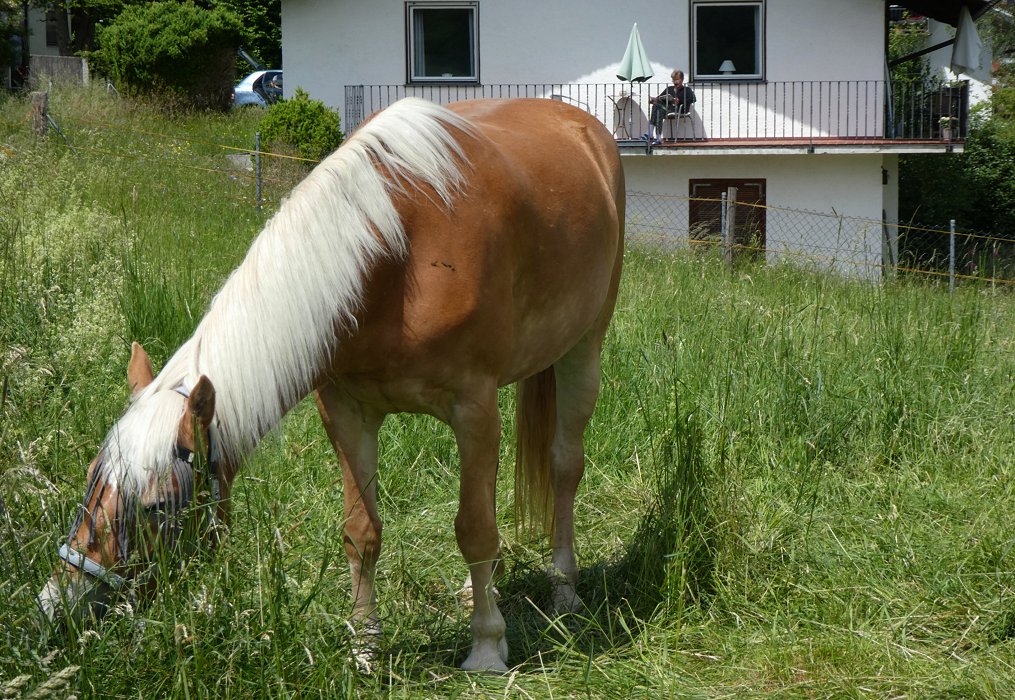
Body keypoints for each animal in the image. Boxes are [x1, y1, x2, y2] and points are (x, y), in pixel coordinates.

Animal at [37, 95, 625, 669]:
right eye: (92, 477)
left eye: (157, 505)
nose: (59, 606)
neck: (397, 255)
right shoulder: (346, 413)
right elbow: (362, 533)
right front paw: (364, 646)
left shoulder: (472, 408)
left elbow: (473, 529)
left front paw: (485, 646)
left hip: (582, 352)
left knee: (564, 466)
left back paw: (564, 588)